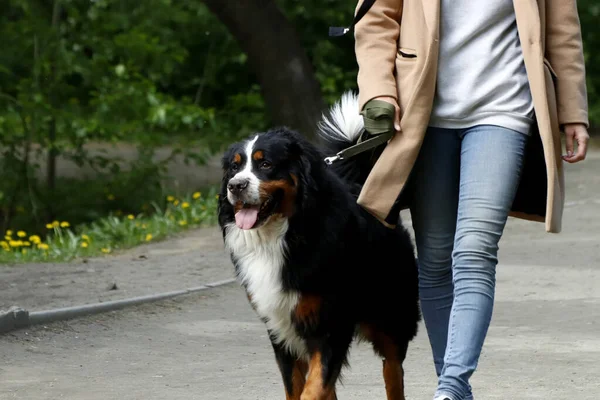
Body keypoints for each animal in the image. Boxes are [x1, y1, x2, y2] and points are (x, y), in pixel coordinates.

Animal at [218, 92, 420, 398]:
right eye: (234, 166)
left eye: (265, 164)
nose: (235, 185)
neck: (284, 235)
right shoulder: (281, 329)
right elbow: (299, 387)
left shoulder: (329, 325)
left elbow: (314, 388)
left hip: (392, 316)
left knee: (393, 370)